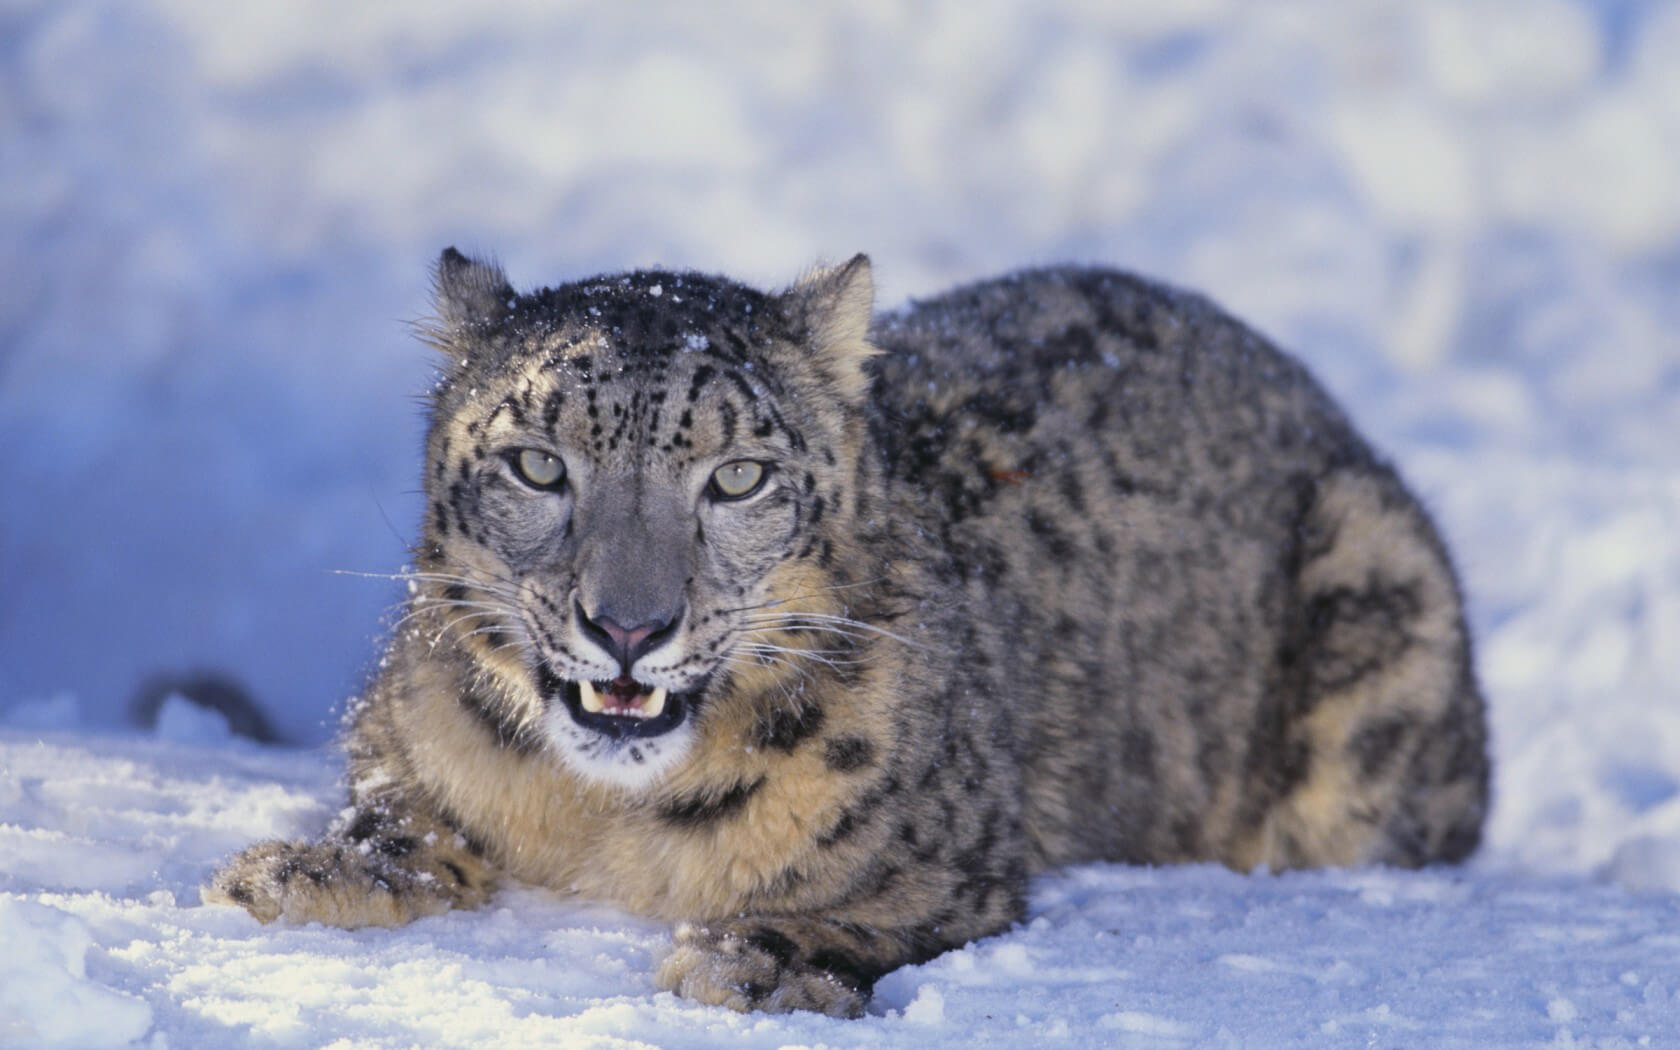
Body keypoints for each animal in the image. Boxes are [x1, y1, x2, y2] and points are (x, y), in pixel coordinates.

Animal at [206, 249, 1490, 1017]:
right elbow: (405, 811)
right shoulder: (407, 742)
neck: (598, 821)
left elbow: (881, 912)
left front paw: (746, 955)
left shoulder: (948, 865)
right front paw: (303, 871)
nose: (628, 625)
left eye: (737, 476)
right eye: (537, 464)